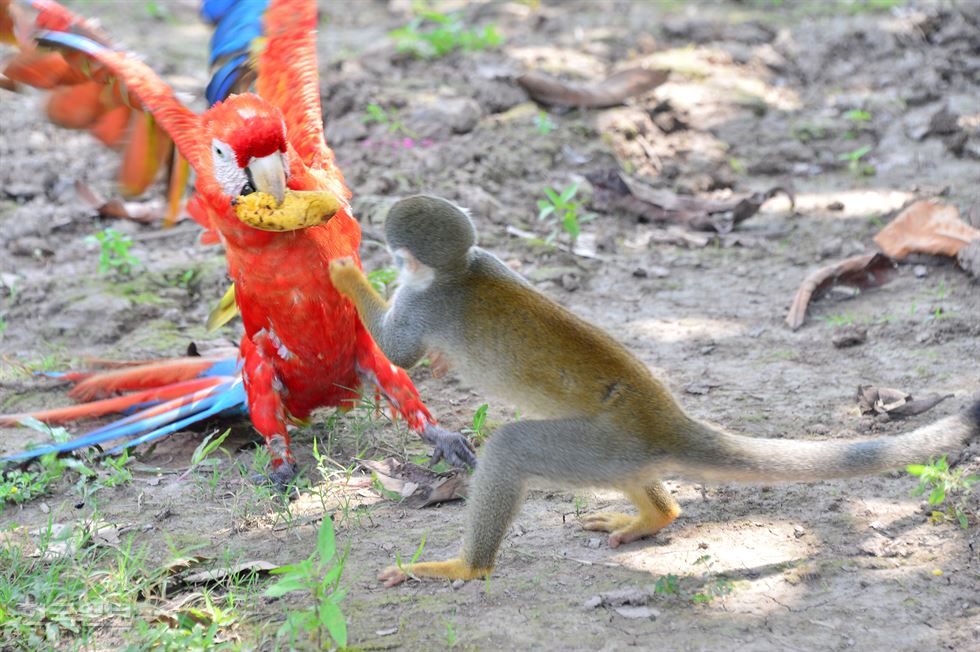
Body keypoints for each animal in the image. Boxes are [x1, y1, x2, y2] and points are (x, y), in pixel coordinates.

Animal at [332, 196, 980, 588]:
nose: (375, 251)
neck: (459, 271)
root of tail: (663, 413)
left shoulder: (426, 302)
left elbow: (397, 352)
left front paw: (345, 272)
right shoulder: (488, 259)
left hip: (598, 443)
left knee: (512, 449)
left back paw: (465, 569)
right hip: (618, 448)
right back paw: (656, 515)